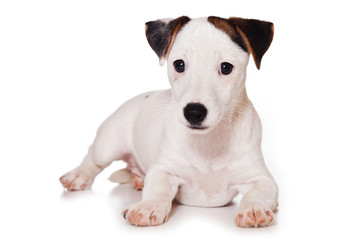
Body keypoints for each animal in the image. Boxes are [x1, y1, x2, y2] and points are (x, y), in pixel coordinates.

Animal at [59, 16, 278, 227]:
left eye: (226, 68)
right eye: (179, 65)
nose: (193, 112)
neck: (208, 143)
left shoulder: (262, 179)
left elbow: (257, 192)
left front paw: (254, 208)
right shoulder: (163, 170)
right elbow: (158, 190)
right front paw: (148, 206)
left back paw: (138, 178)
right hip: (108, 143)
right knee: (93, 157)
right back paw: (78, 176)